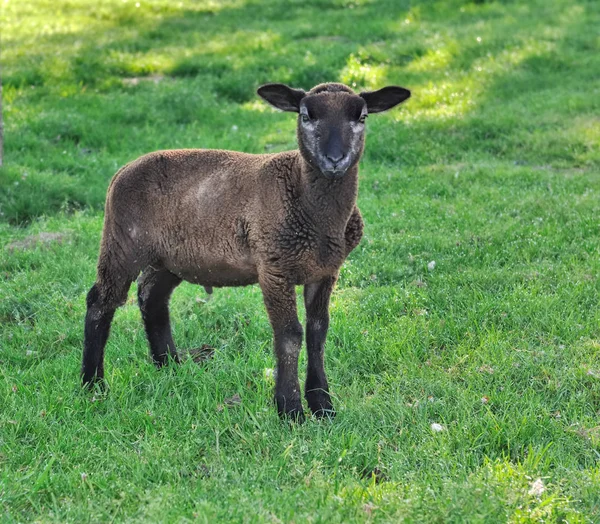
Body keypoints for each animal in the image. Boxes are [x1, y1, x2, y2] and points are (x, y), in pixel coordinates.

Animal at [82, 82, 412, 420]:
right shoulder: (274, 268)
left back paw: (169, 365)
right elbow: (289, 335)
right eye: (306, 116)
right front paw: (290, 409)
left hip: (170, 258)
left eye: (361, 117)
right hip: (122, 242)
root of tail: (123, 169)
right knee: (100, 301)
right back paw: (92, 384)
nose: (334, 159)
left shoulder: (325, 271)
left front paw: (323, 405)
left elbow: (318, 332)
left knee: (152, 298)